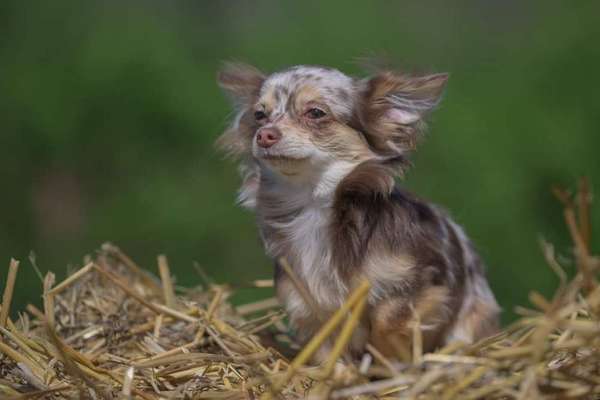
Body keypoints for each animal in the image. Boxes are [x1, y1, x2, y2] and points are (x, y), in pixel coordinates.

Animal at [218, 63, 500, 362]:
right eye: (259, 116)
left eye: (315, 113)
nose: (264, 134)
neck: (314, 205)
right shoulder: (307, 306)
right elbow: (327, 355)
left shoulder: (420, 285)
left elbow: (388, 322)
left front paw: (385, 360)